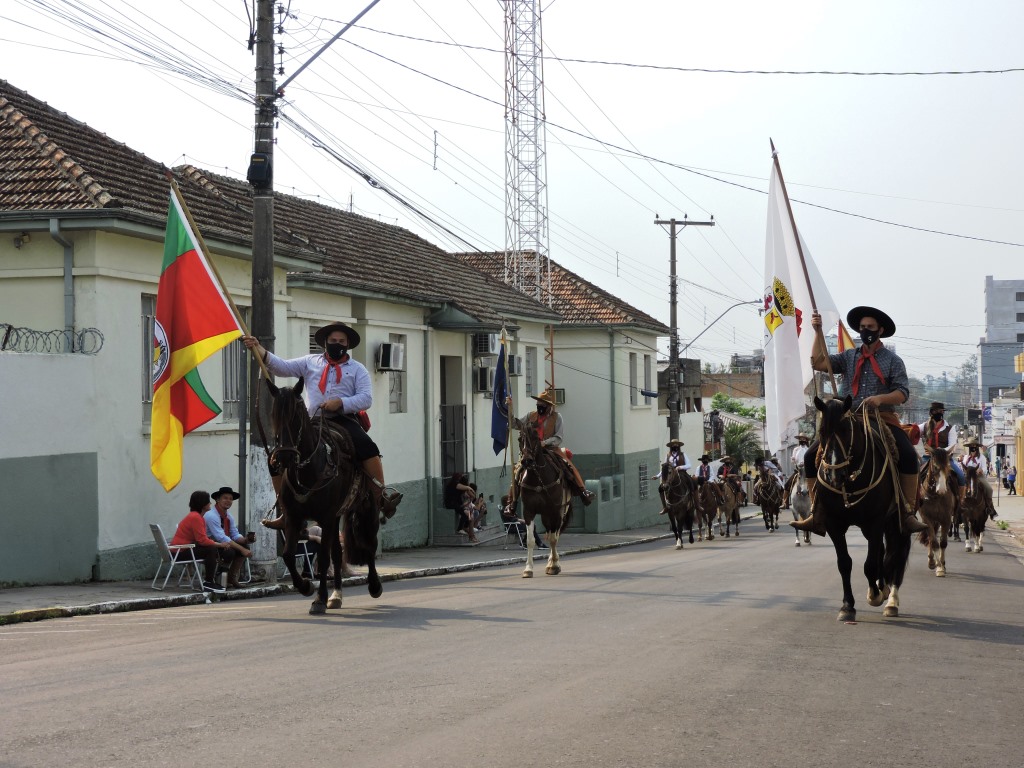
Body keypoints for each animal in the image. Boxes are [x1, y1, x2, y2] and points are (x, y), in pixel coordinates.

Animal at [268, 378, 385, 614]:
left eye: (296, 415)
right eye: (274, 414)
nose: (284, 457)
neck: (308, 470)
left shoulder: (326, 517)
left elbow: (322, 560)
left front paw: (318, 599)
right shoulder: (294, 517)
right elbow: (288, 555)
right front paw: (305, 587)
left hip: (366, 509)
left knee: (369, 544)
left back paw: (374, 585)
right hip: (338, 516)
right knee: (338, 553)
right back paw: (336, 595)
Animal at [512, 417, 577, 573]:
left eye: (536, 437)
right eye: (519, 438)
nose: (527, 461)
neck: (538, 478)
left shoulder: (555, 511)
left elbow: (553, 539)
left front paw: (554, 565)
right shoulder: (529, 512)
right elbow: (530, 540)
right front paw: (528, 569)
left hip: (559, 513)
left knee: (555, 535)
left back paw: (552, 562)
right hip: (546, 516)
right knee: (549, 533)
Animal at [815, 399, 913, 622]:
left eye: (845, 431)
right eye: (822, 431)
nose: (834, 475)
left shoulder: (875, 520)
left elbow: (870, 565)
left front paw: (875, 596)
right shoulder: (834, 523)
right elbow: (844, 563)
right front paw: (847, 606)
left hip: (896, 521)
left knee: (897, 554)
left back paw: (891, 601)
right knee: (883, 552)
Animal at [917, 444, 954, 577]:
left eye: (948, 466)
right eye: (936, 467)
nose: (942, 489)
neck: (935, 495)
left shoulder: (946, 519)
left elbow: (942, 543)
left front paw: (941, 567)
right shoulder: (927, 518)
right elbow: (933, 542)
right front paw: (937, 565)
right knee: (930, 538)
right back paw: (932, 561)